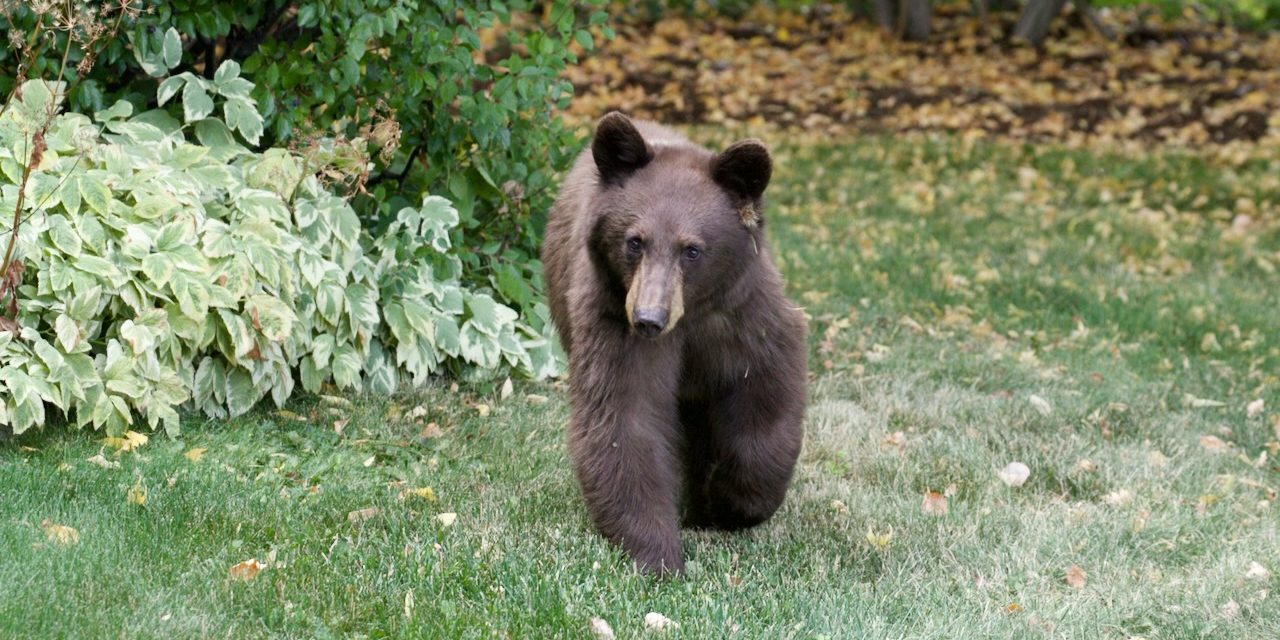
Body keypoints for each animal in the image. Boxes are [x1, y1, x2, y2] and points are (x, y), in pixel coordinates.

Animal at [542, 111, 808, 576]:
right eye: (634, 241)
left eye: (693, 250)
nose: (649, 318)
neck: (689, 315)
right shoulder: (611, 319)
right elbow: (624, 417)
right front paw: (657, 553)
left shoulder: (740, 316)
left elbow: (765, 388)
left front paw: (733, 502)